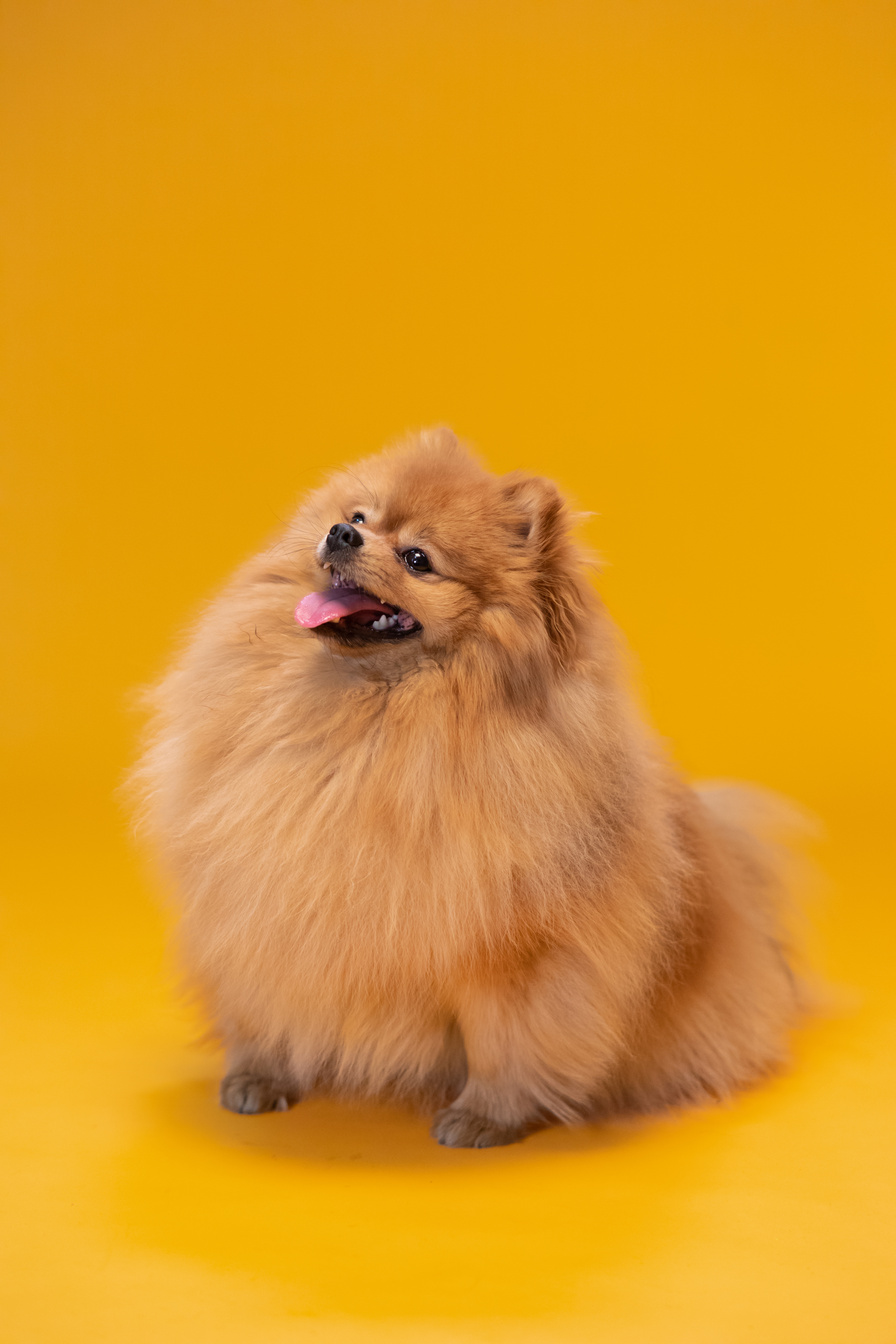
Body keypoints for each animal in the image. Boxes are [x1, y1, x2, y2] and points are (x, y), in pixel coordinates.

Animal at [137, 427, 800, 1145]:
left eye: (418, 558)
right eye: (360, 514)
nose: (341, 533)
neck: (368, 717)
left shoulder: (515, 955)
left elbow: (504, 1041)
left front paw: (485, 1116)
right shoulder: (271, 902)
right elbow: (269, 998)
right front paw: (260, 1075)